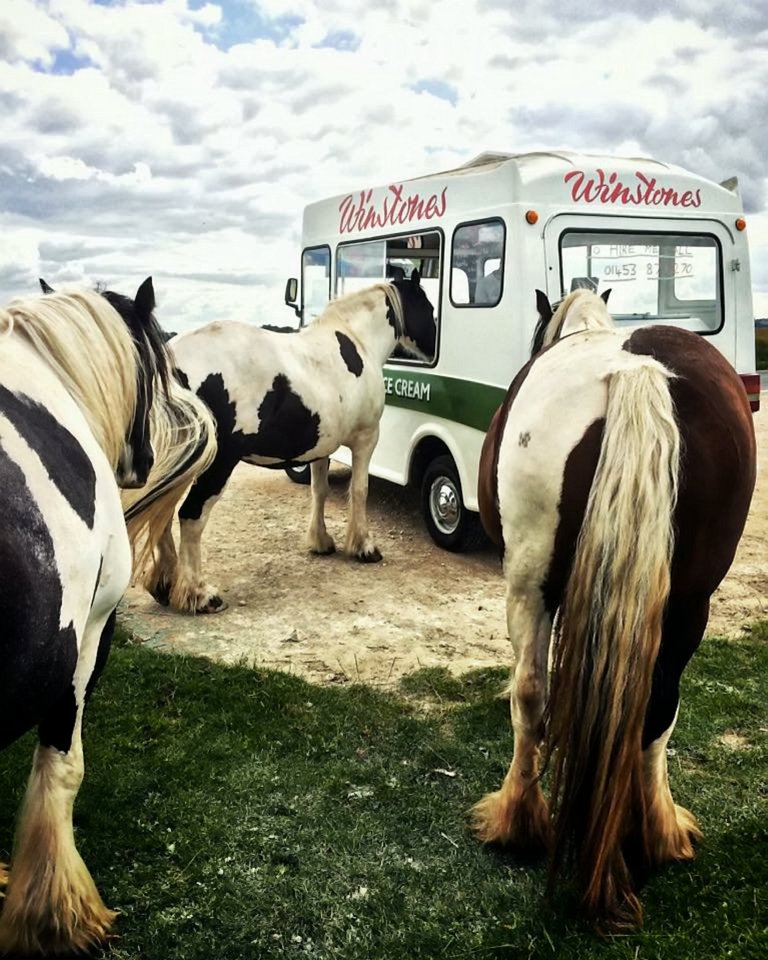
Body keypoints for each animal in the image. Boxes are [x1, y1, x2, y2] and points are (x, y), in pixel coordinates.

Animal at [134, 270, 436, 616]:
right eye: (428, 307)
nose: (433, 347)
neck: (357, 342)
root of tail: (169, 363)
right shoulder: (365, 439)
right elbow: (359, 491)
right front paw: (364, 547)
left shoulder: (321, 447)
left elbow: (319, 491)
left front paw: (321, 542)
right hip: (218, 464)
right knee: (191, 515)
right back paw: (199, 594)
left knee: (163, 511)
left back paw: (164, 585)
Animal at [474, 290, 756, 928]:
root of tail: (637, 369)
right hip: (689, 603)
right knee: (659, 709)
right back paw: (657, 833)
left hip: (528, 582)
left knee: (530, 692)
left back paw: (517, 819)